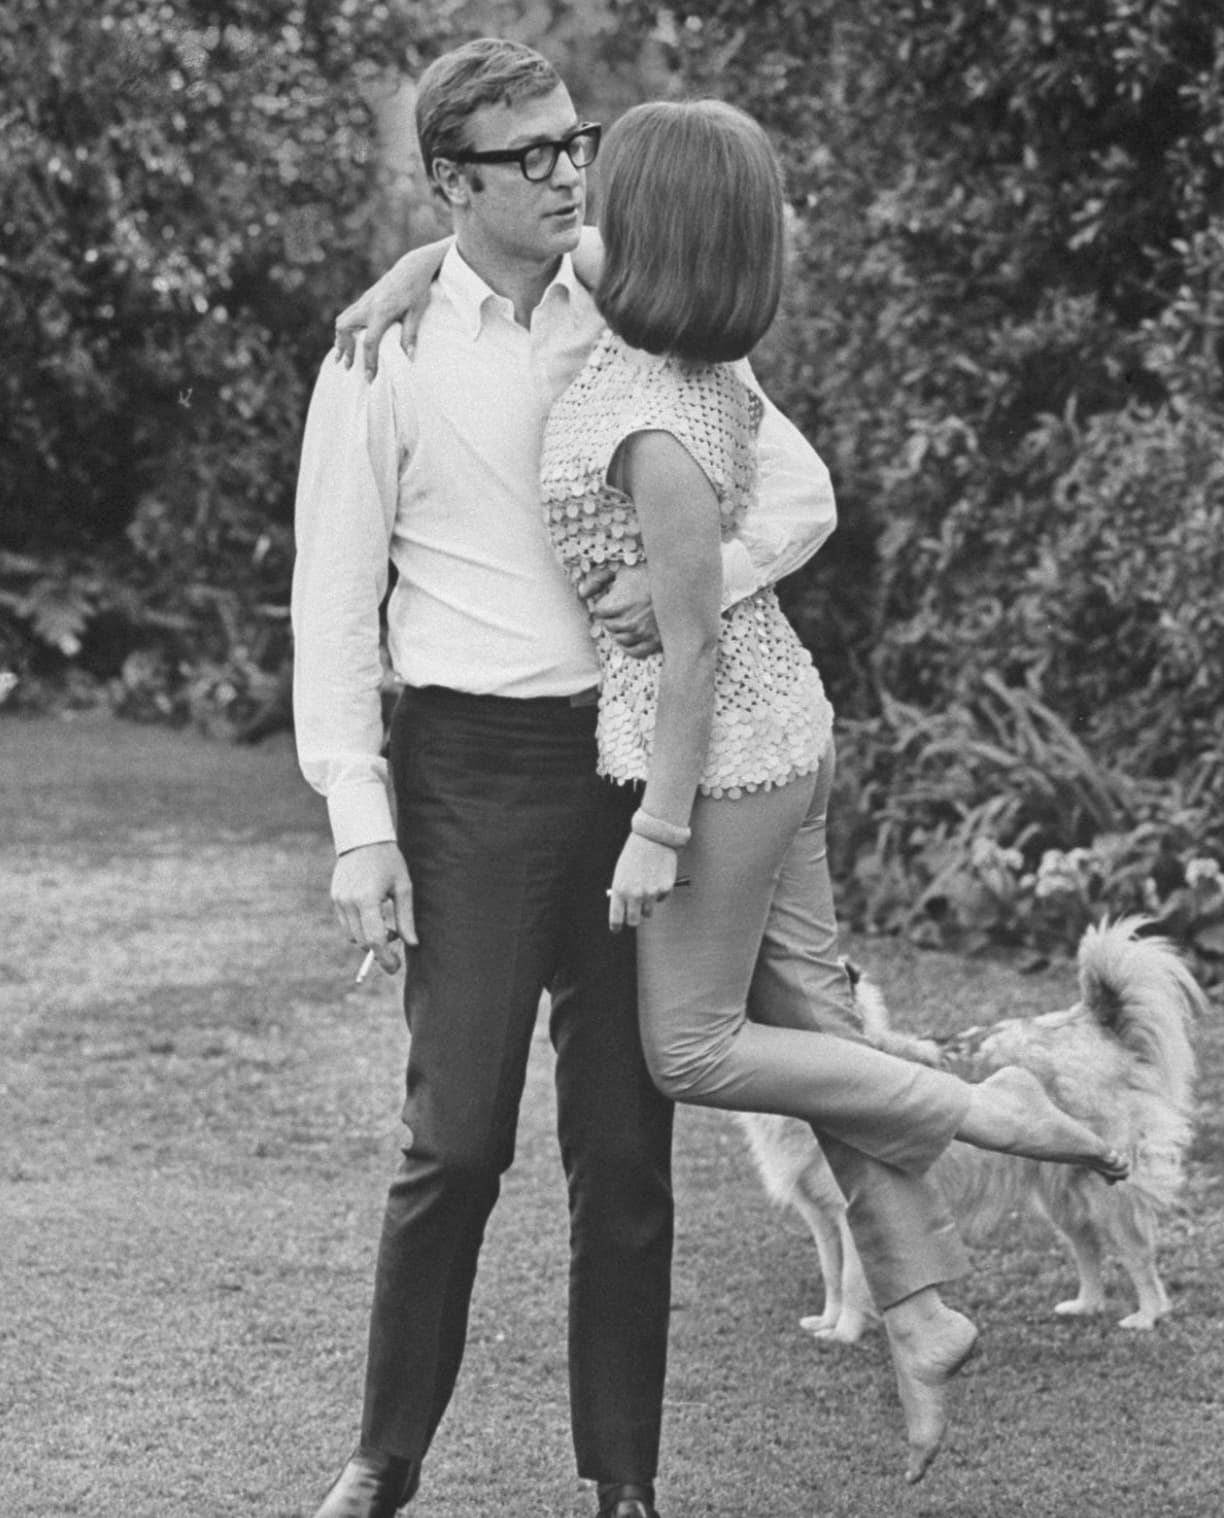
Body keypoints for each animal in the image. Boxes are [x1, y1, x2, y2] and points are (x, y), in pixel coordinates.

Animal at [738, 910, 1208, 1341]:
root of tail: (1093, 1021)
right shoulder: (820, 1215)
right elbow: (831, 1274)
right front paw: (828, 1322)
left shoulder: (855, 1209)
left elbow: (852, 1281)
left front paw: (845, 1333)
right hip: (1061, 1193)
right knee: (1087, 1246)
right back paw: (1085, 1305)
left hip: (1107, 1190)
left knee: (1137, 1253)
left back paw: (1147, 1316)